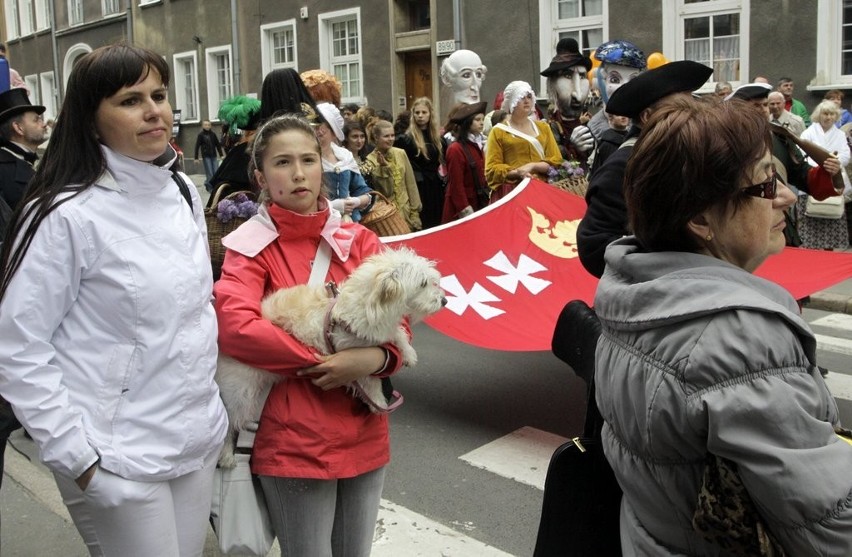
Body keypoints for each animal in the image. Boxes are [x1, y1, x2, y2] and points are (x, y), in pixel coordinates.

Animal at [215, 245, 446, 466]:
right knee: (230, 421)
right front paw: (377, 401)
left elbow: (396, 333)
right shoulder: (350, 351)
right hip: (240, 391)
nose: (443, 301)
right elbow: (369, 380)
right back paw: (225, 455)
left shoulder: (376, 332)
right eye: (423, 284)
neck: (371, 303)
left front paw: (408, 353)